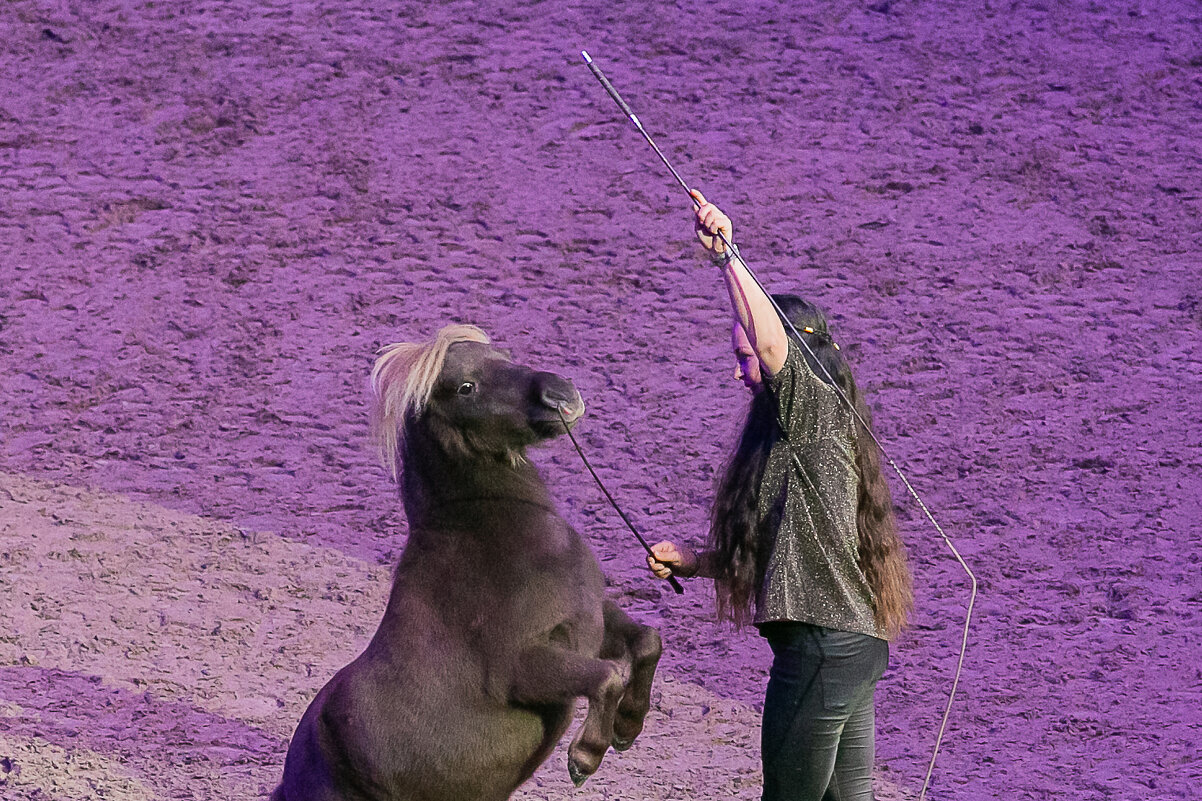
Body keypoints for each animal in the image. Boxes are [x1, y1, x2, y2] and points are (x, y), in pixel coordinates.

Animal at [275, 322, 658, 798]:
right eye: (465, 387)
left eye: (504, 355)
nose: (560, 394)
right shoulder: (521, 668)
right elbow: (607, 676)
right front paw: (585, 757)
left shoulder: (590, 620)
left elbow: (647, 641)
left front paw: (627, 727)